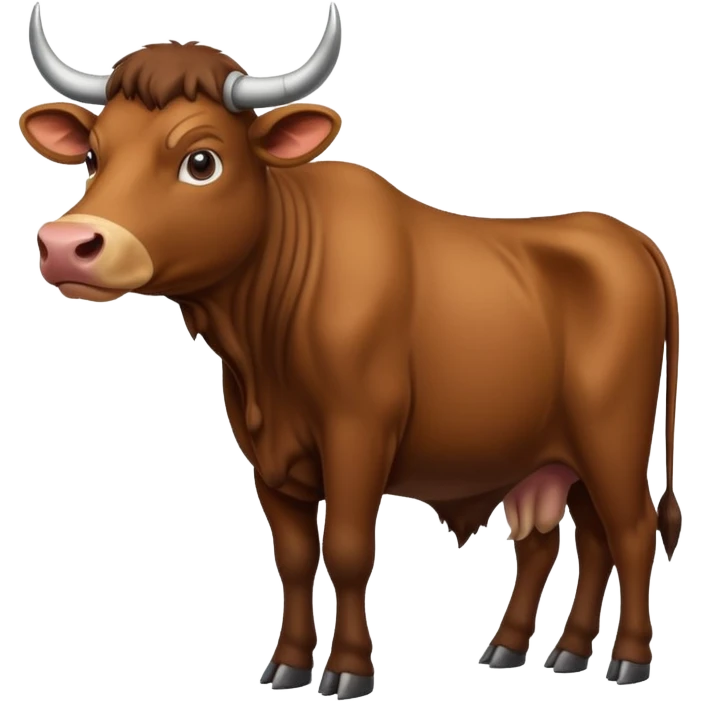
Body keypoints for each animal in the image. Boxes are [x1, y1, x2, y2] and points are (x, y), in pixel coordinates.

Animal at [20, 2, 682, 695]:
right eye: (94, 156)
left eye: (201, 162)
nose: (65, 246)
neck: (261, 350)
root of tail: (625, 237)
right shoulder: (266, 455)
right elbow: (293, 556)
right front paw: (287, 662)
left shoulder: (359, 432)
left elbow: (345, 549)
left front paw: (347, 667)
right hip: (552, 452)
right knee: (573, 541)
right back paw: (545, 650)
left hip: (612, 435)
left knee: (631, 532)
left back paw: (629, 658)